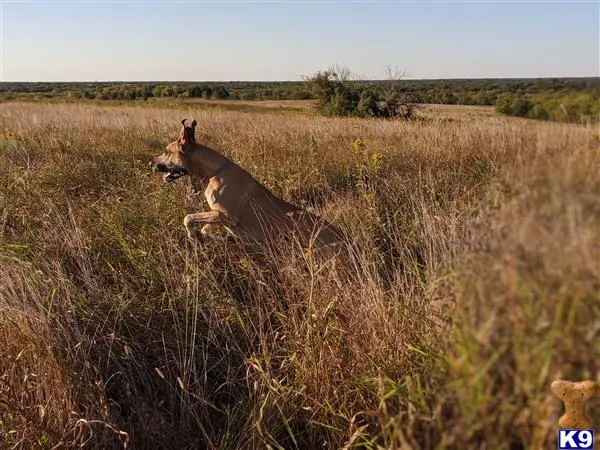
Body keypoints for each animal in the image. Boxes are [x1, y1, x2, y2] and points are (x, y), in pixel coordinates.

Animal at [152, 119, 344, 251]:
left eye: (167, 152)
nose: (151, 164)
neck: (215, 171)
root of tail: (345, 237)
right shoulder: (217, 215)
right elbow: (206, 229)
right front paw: (214, 238)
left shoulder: (226, 216)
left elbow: (188, 218)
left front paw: (193, 235)